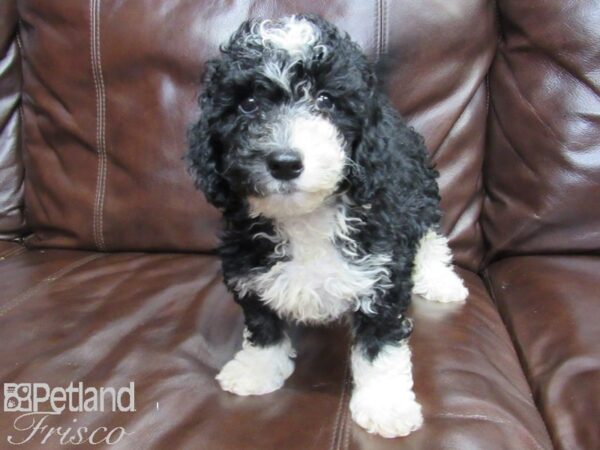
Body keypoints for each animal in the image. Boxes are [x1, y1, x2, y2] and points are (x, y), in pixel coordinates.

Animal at [188, 15, 468, 438]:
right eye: (248, 104)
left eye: (325, 101)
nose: (285, 162)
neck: (305, 217)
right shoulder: (246, 264)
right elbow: (262, 322)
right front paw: (257, 369)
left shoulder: (383, 272)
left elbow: (380, 344)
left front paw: (385, 405)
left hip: (419, 190)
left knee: (431, 235)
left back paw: (440, 280)